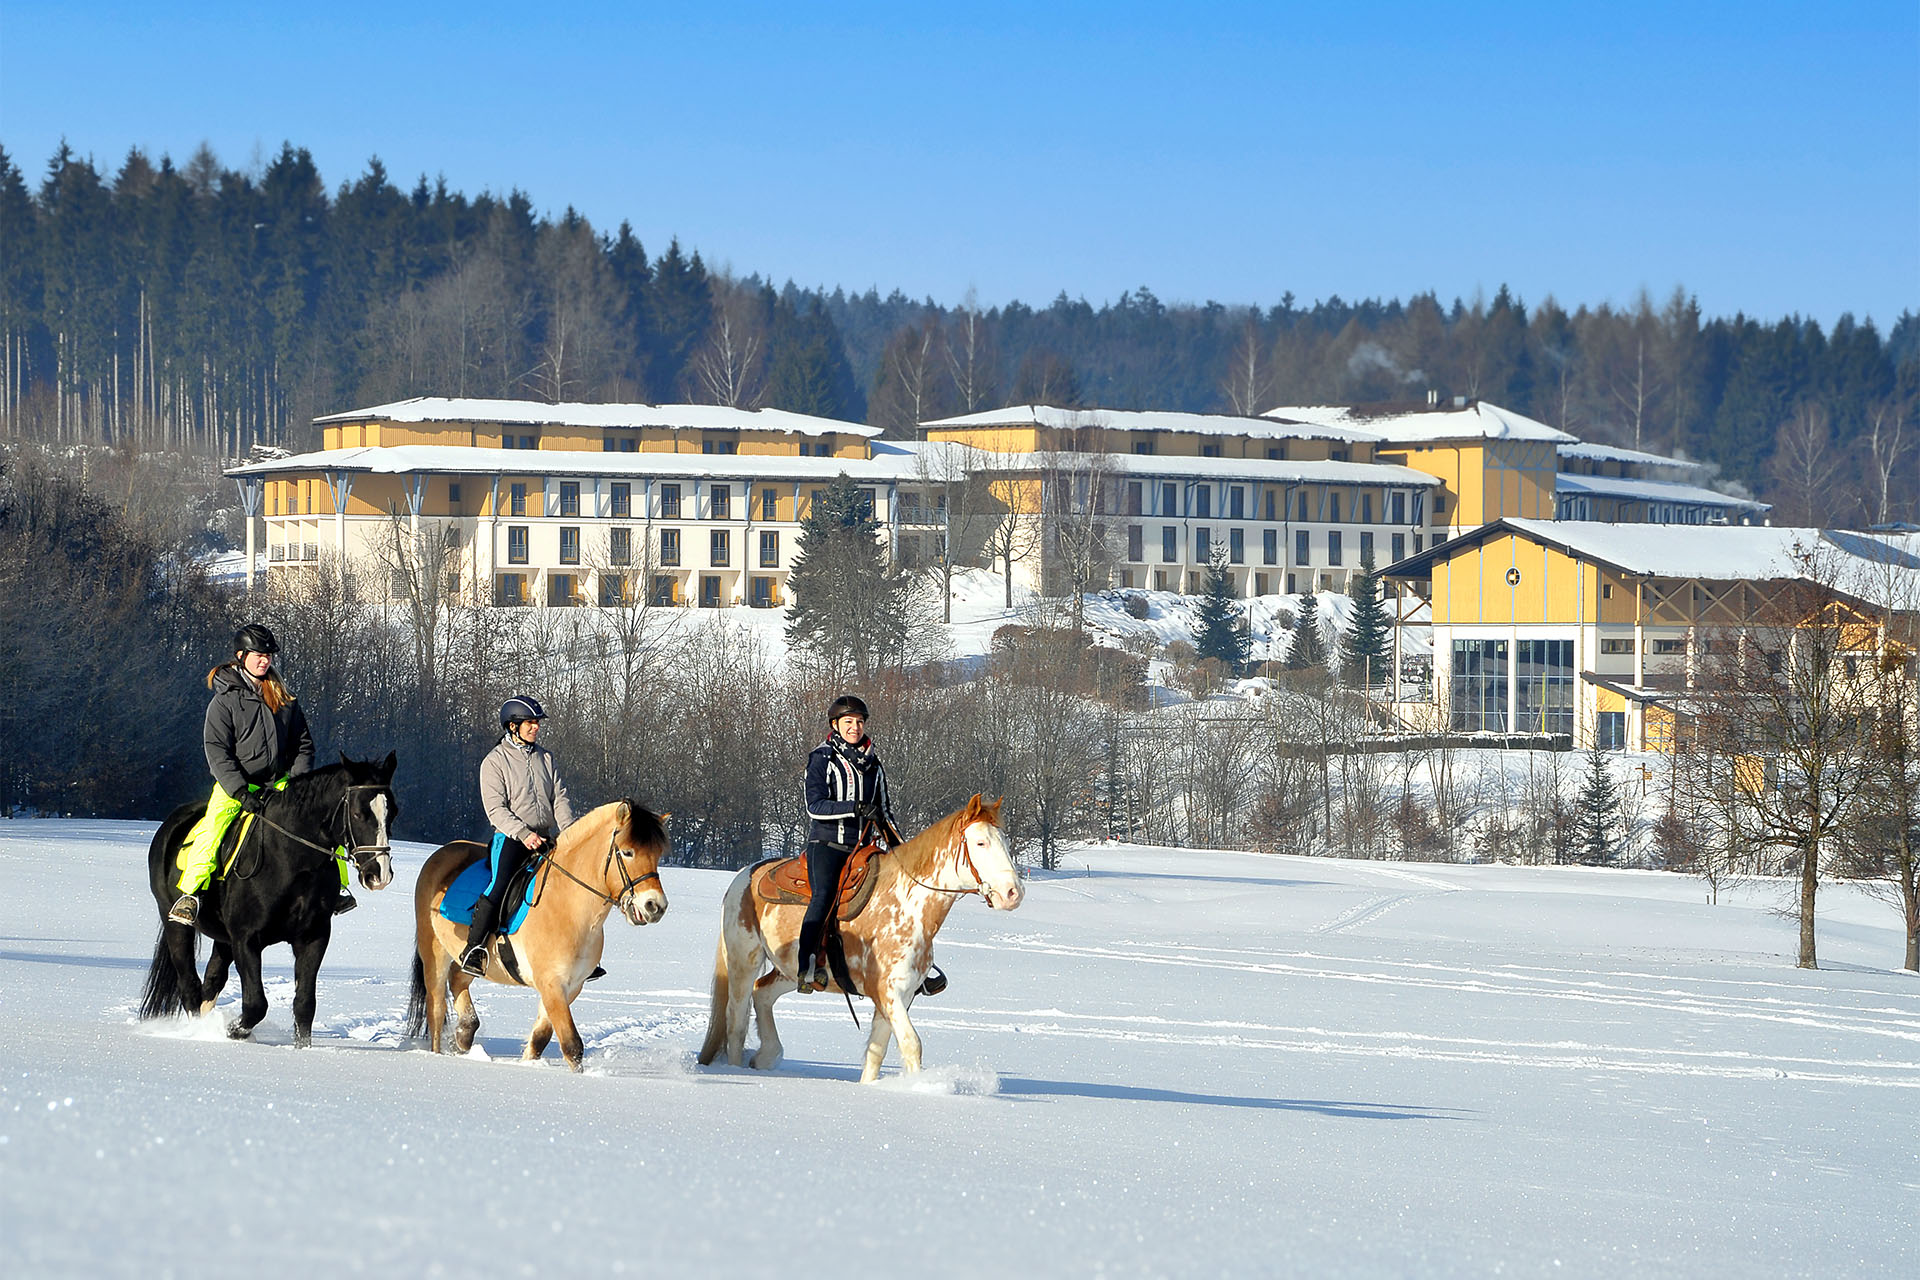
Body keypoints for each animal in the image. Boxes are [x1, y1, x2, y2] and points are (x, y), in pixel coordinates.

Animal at [141, 756, 401, 1043]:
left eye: (393, 812)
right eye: (357, 813)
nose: (379, 874)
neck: (290, 860)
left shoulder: (313, 937)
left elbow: (304, 1005)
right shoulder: (246, 939)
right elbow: (256, 1004)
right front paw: (234, 1032)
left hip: (223, 939)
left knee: (211, 980)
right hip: (176, 924)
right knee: (189, 984)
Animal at [408, 802, 672, 1074]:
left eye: (657, 854)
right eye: (627, 852)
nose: (655, 906)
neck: (567, 906)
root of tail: (442, 853)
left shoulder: (571, 986)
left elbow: (540, 1038)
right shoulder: (551, 983)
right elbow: (571, 1045)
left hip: (473, 960)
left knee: (458, 980)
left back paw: (465, 1033)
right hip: (434, 953)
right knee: (436, 1007)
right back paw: (439, 1053)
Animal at [695, 794, 1021, 1090]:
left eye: (1005, 842)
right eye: (980, 843)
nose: (1013, 892)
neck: (907, 905)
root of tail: (744, 874)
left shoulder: (900, 996)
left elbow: (877, 1052)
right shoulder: (888, 992)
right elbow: (911, 1044)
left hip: (792, 971)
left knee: (762, 993)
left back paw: (766, 1056)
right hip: (743, 961)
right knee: (736, 1020)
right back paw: (738, 1068)